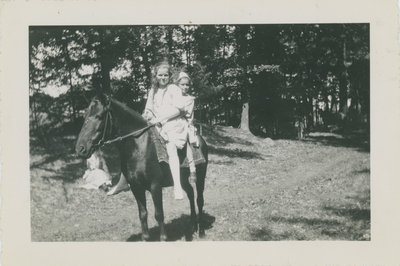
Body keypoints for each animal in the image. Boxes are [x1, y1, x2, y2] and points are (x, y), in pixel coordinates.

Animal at [74, 95, 209, 241]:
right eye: (85, 116)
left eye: (99, 116)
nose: (80, 148)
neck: (140, 145)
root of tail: (200, 139)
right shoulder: (136, 187)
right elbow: (143, 214)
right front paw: (145, 238)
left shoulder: (155, 186)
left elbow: (159, 214)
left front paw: (163, 238)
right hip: (182, 179)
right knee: (190, 193)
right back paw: (192, 226)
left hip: (201, 175)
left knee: (199, 199)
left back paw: (201, 231)